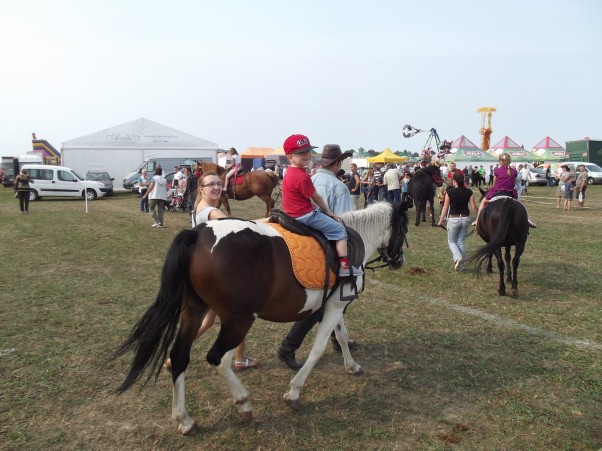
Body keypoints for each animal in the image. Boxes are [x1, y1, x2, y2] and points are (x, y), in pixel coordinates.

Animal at [112, 203, 408, 436]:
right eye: (404, 229)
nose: (399, 261)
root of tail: (197, 234)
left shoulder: (335, 304)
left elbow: (343, 336)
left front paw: (352, 366)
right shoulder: (335, 306)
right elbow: (318, 349)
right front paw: (294, 392)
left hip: (194, 311)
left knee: (180, 356)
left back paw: (184, 419)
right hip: (238, 320)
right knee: (218, 358)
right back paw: (243, 402)